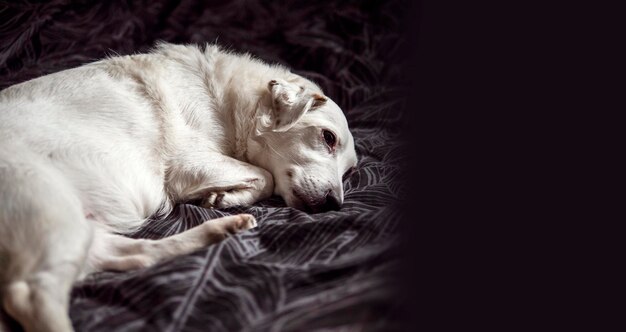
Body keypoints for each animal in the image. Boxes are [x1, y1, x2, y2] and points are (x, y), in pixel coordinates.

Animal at [0, 44, 356, 332]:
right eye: (328, 138)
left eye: (350, 171)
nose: (333, 204)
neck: (225, 101)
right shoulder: (189, 162)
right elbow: (265, 177)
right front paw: (229, 195)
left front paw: (226, 198)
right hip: (56, 214)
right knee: (28, 294)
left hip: (83, 230)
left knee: (141, 255)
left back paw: (224, 229)